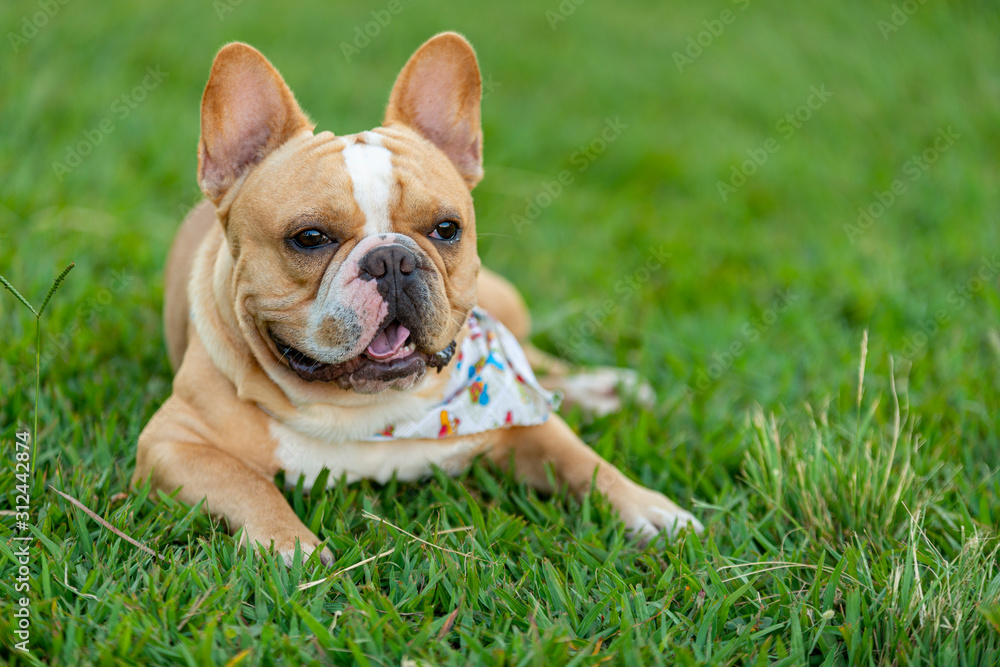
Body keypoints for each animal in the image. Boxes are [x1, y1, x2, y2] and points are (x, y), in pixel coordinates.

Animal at [133, 31, 704, 564]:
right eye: (310, 237)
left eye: (446, 228)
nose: (391, 261)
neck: (369, 411)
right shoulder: (173, 444)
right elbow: (249, 485)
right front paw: (290, 548)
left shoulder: (523, 422)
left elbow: (583, 459)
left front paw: (651, 509)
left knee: (537, 362)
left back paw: (605, 387)